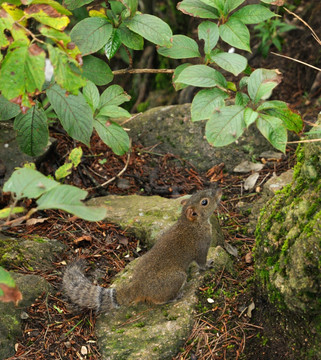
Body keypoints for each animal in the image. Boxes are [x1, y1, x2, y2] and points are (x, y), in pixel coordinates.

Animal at [62, 188, 222, 312]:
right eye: (204, 202)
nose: (219, 191)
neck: (191, 224)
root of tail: (138, 288)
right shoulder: (201, 247)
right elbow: (201, 262)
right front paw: (208, 265)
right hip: (175, 279)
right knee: (159, 300)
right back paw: (175, 296)